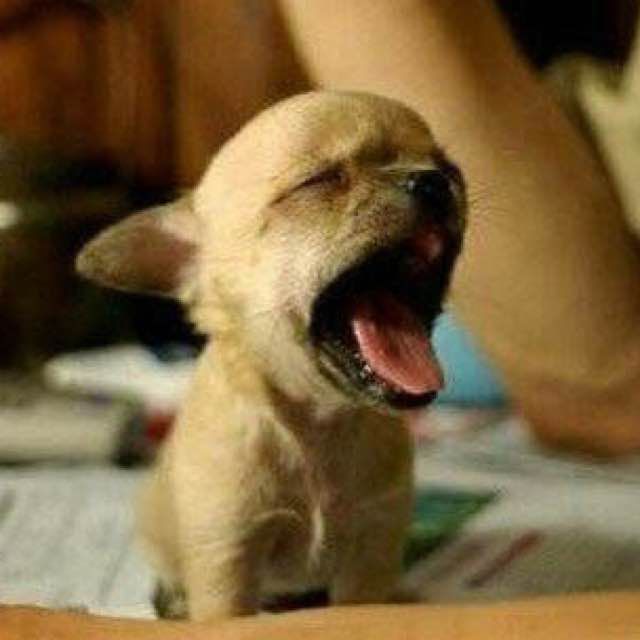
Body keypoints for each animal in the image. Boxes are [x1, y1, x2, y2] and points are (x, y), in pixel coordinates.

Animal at [76, 91, 465, 621]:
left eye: (449, 167)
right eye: (320, 181)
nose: (431, 180)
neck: (319, 425)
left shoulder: (372, 551)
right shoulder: (229, 560)